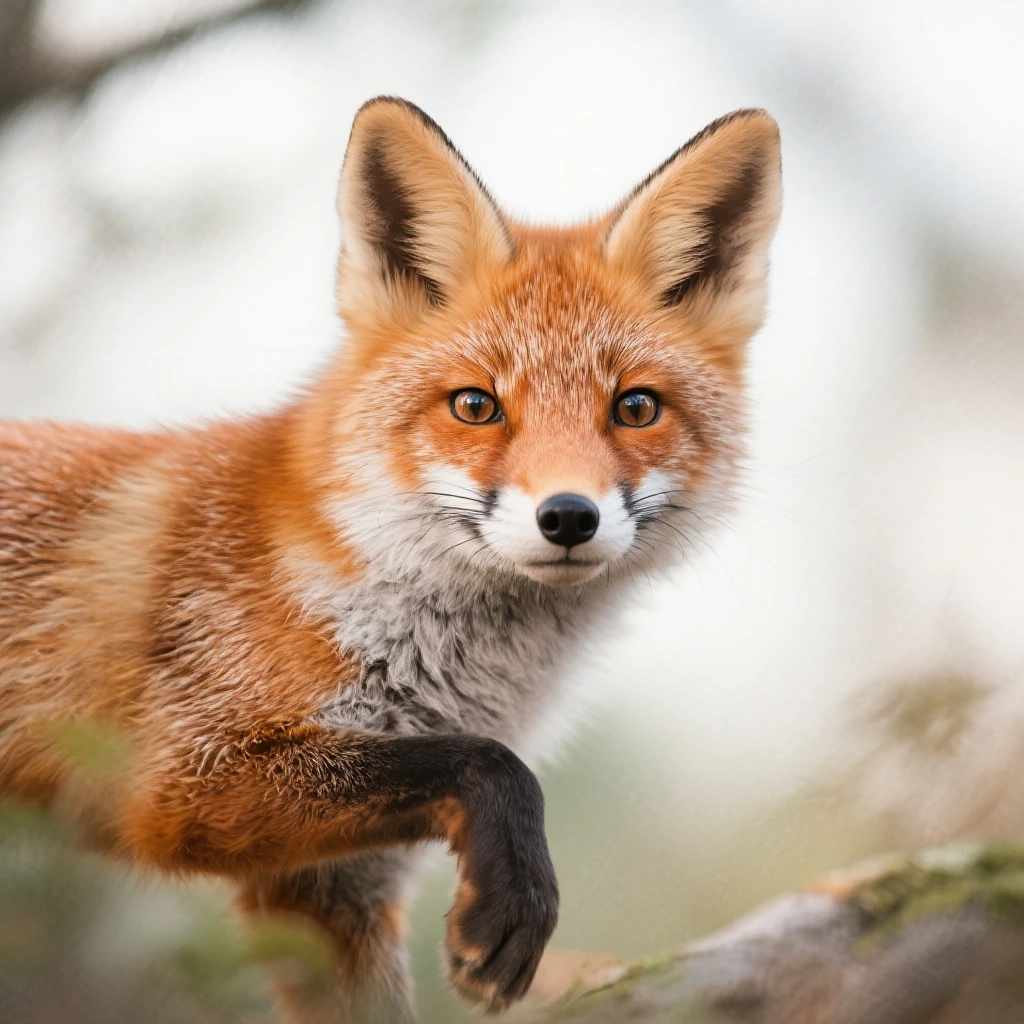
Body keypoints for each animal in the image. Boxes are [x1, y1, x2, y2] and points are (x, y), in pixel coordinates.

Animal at [0, 97, 781, 1021]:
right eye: (475, 406)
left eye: (635, 408)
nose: (567, 517)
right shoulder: (179, 778)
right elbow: (496, 765)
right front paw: (521, 898)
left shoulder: (334, 888)